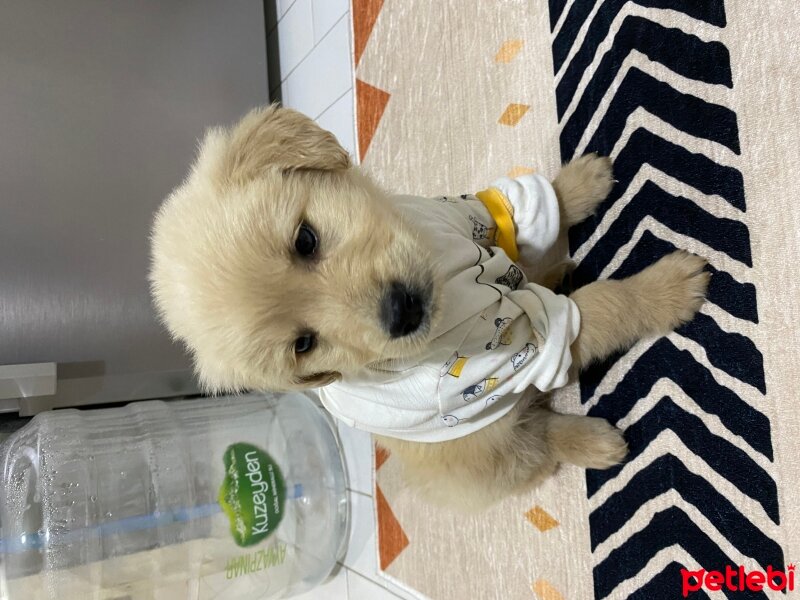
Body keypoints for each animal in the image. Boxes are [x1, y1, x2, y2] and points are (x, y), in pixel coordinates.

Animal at [148, 104, 708, 510]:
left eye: (305, 240)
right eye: (303, 345)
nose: (401, 313)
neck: (446, 273)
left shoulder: (466, 215)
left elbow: (521, 206)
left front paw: (581, 182)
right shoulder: (506, 353)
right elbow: (602, 307)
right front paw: (665, 291)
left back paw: (554, 272)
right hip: (496, 448)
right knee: (540, 440)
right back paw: (596, 442)